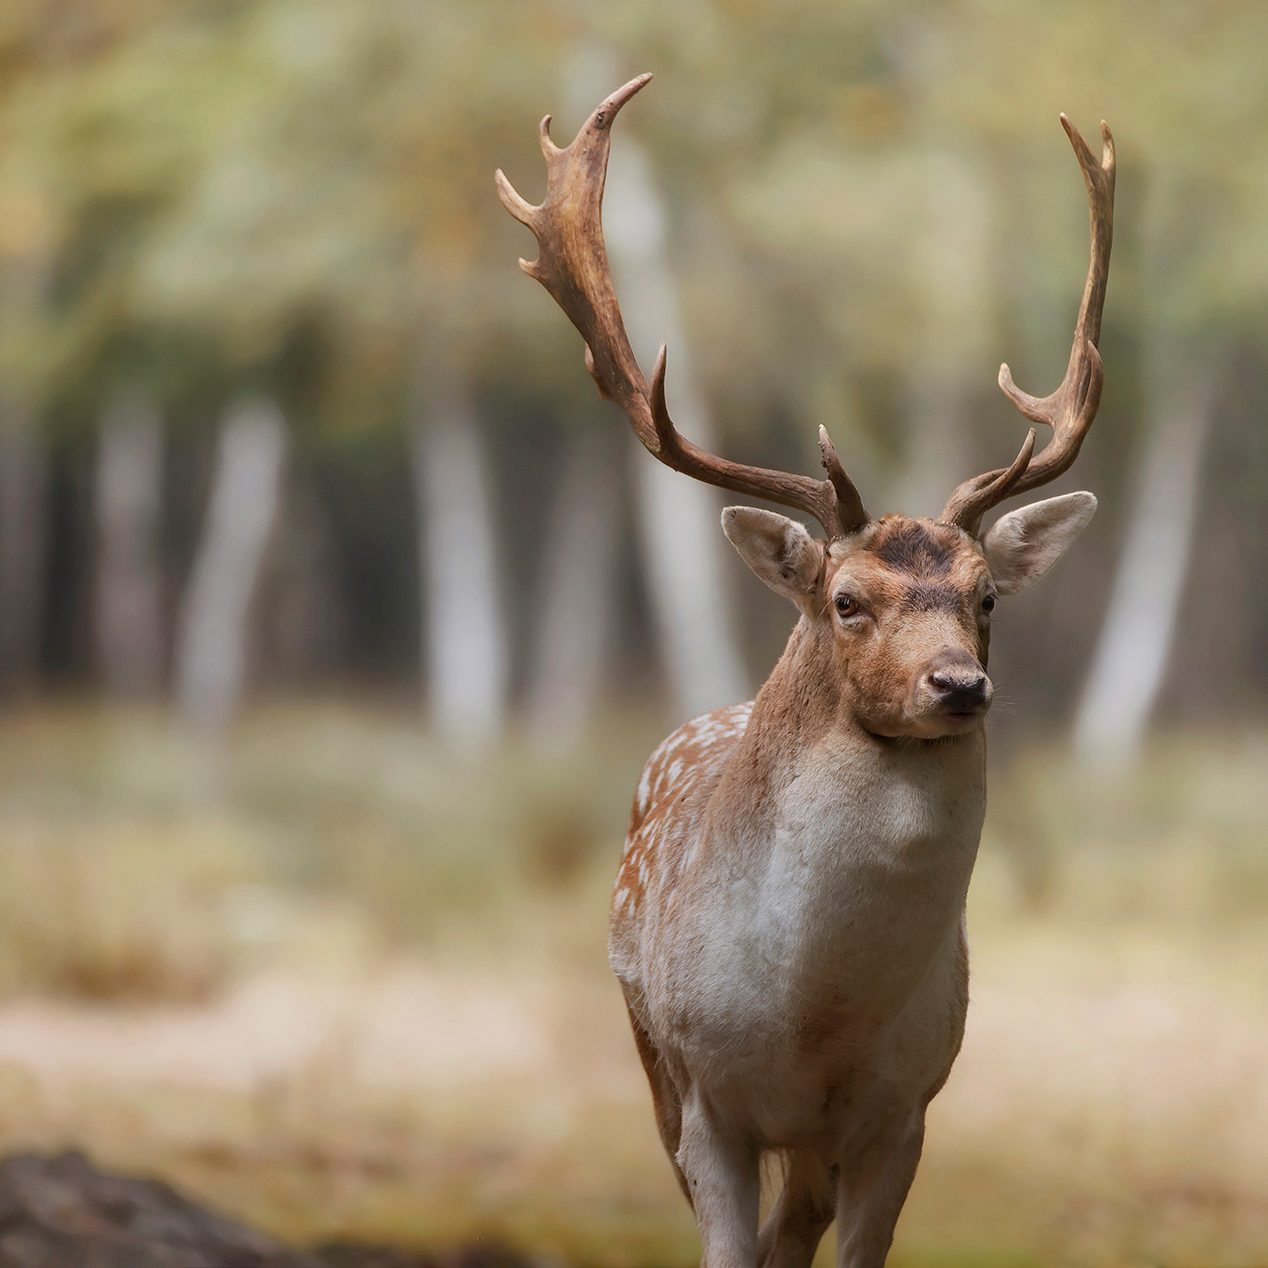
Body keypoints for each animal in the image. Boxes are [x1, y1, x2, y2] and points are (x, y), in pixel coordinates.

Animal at [499, 74, 1115, 1262]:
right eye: (846, 601)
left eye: (986, 596)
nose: (958, 685)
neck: (815, 1022)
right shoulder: (707, 1101)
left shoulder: (904, 1109)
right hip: (647, 1051)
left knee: (799, 1227)